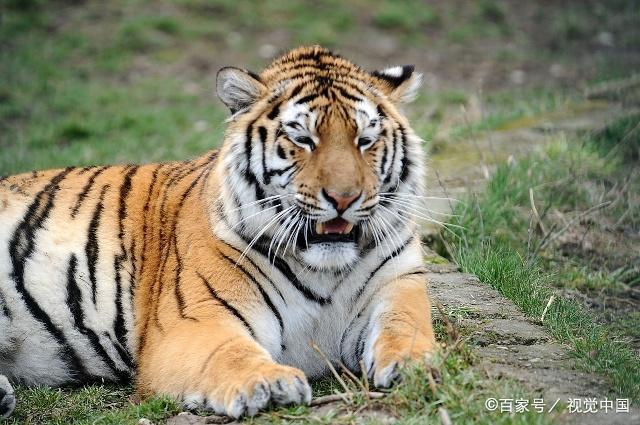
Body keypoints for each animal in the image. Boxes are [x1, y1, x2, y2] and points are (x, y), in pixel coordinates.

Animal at [0, 46, 436, 419]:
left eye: (365, 140)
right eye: (302, 139)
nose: (344, 198)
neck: (323, 270)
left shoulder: (398, 284)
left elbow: (404, 327)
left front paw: (416, 364)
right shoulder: (195, 321)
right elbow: (229, 352)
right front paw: (270, 383)